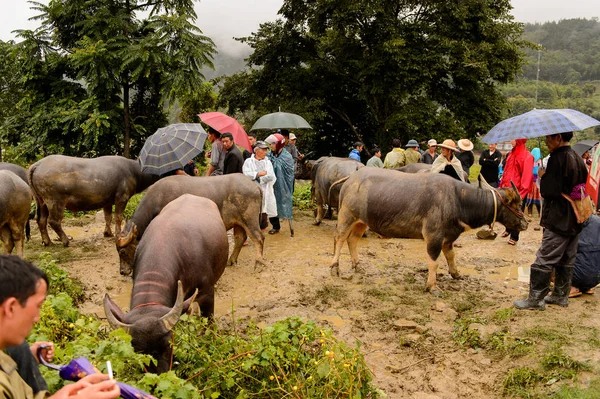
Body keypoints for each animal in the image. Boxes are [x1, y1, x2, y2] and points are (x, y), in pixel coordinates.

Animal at [27, 155, 159, 247]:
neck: (133, 171)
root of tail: (38, 164)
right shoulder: (122, 198)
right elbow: (118, 217)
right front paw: (117, 234)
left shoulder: (107, 201)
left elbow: (108, 217)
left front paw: (107, 233)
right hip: (55, 201)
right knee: (53, 221)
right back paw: (65, 241)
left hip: (41, 201)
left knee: (41, 219)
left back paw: (48, 242)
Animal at [117, 175, 264, 278]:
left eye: (122, 252)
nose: (122, 272)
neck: (157, 200)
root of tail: (255, 186)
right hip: (238, 222)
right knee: (240, 238)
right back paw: (231, 260)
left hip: (249, 220)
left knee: (258, 238)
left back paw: (259, 264)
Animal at [330, 169, 528, 294]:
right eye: (517, 204)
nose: (525, 223)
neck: (458, 199)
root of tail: (350, 178)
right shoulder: (434, 237)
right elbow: (434, 262)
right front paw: (432, 286)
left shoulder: (449, 238)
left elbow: (451, 256)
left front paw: (456, 274)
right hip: (346, 215)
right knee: (339, 238)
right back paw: (334, 267)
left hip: (362, 221)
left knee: (353, 240)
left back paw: (357, 265)